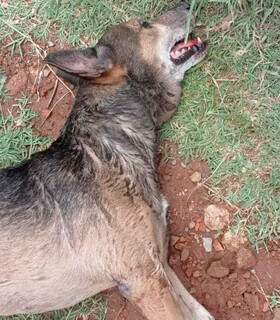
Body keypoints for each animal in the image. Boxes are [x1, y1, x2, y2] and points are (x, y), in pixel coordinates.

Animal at [0, 3, 214, 320]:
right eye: (144, 24)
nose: (188, 5)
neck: (109, 139)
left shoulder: (159, 264)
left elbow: (199, 312)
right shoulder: (144, 279)